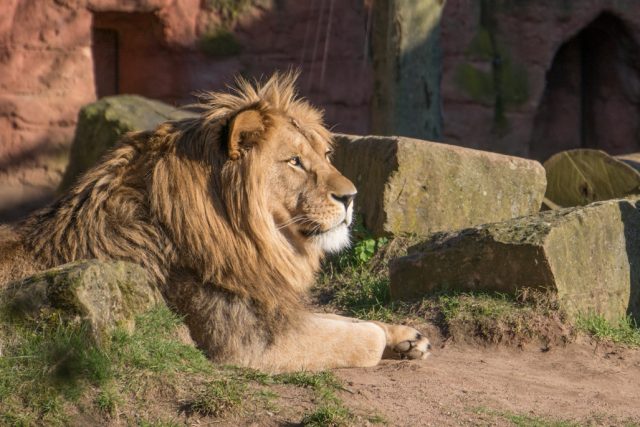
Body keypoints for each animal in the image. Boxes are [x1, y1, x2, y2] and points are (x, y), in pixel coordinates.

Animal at [1, 72, 430, 372]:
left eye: (325, 155)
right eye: (294, 161)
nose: (351, 196)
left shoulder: (270, 304)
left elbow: (343, 318)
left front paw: (406, 335)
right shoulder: (247, 343)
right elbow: (359, 336)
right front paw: (385, 338)